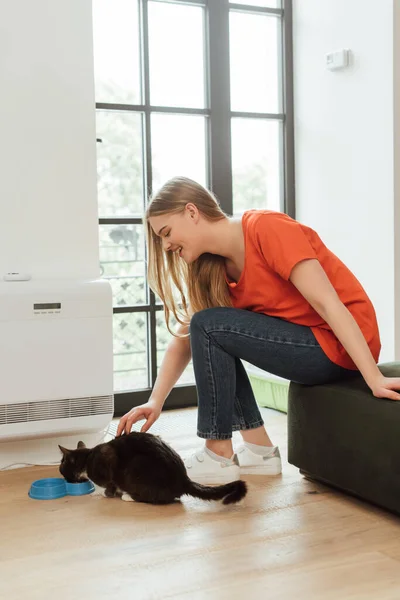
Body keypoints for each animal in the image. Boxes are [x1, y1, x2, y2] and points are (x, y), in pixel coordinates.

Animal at [59, 432, 247, 506]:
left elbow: (109, 484)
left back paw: (128, 496)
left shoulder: (107, 465)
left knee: (155, 498)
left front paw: (103, 493)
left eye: (62, 467)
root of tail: (183, 479)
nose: (64, 478)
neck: (88, 457)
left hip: (136, 467)